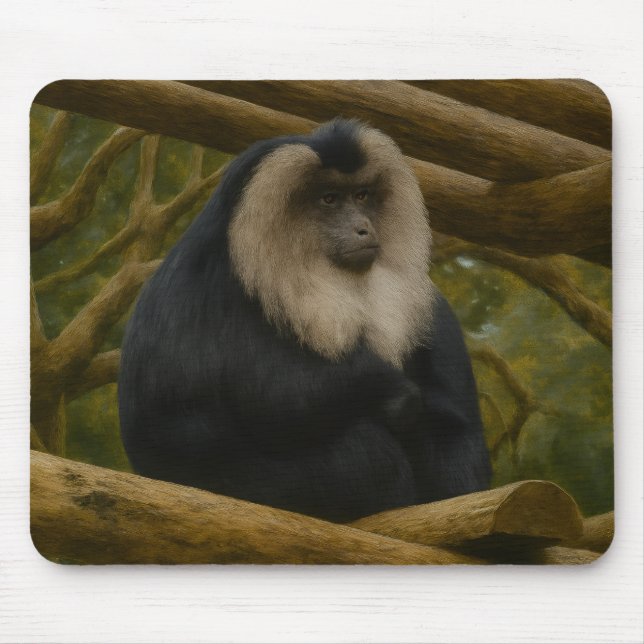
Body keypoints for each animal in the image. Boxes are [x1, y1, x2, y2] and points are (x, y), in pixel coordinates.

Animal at [118, 118, 491, 523]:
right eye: (329, 199)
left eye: (361, 195)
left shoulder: (434, 310)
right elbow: (204, 419)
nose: (364, 228)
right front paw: (390, 391)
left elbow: (460, 440)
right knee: (367, 452)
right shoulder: (195, 289)